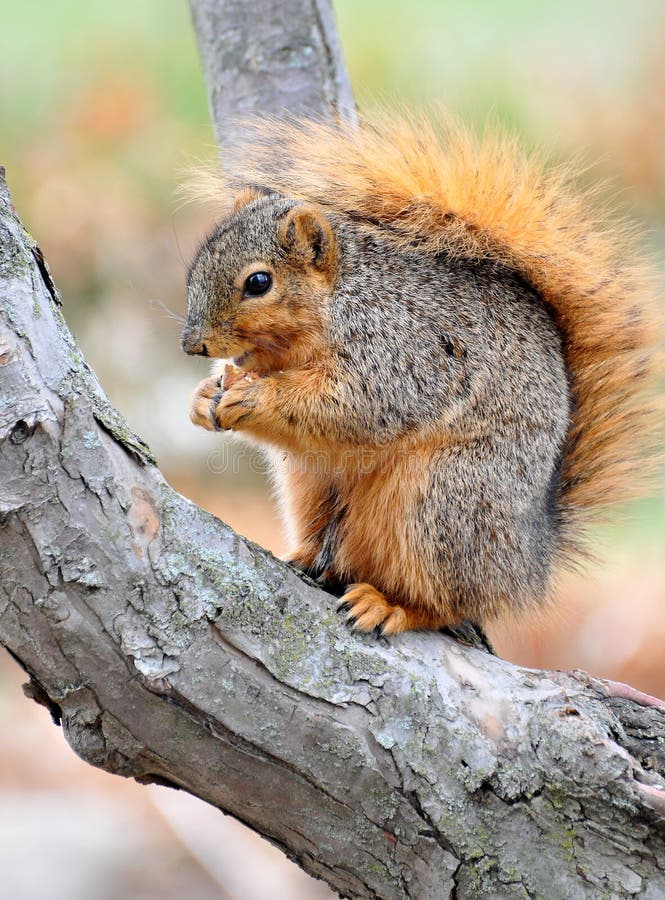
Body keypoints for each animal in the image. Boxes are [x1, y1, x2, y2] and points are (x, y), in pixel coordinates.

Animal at [181, 114, 663, 636]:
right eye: (198, 262)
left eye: (259, 282)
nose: (192, 344)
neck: (339, 301)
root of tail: (528, 560)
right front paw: (204, 395)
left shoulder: (400, 356)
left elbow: (351, 406)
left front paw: (253, 399)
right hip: (310, 487)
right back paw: (307, 557)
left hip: (444, 502)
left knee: (445, 600)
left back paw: (389, 606)